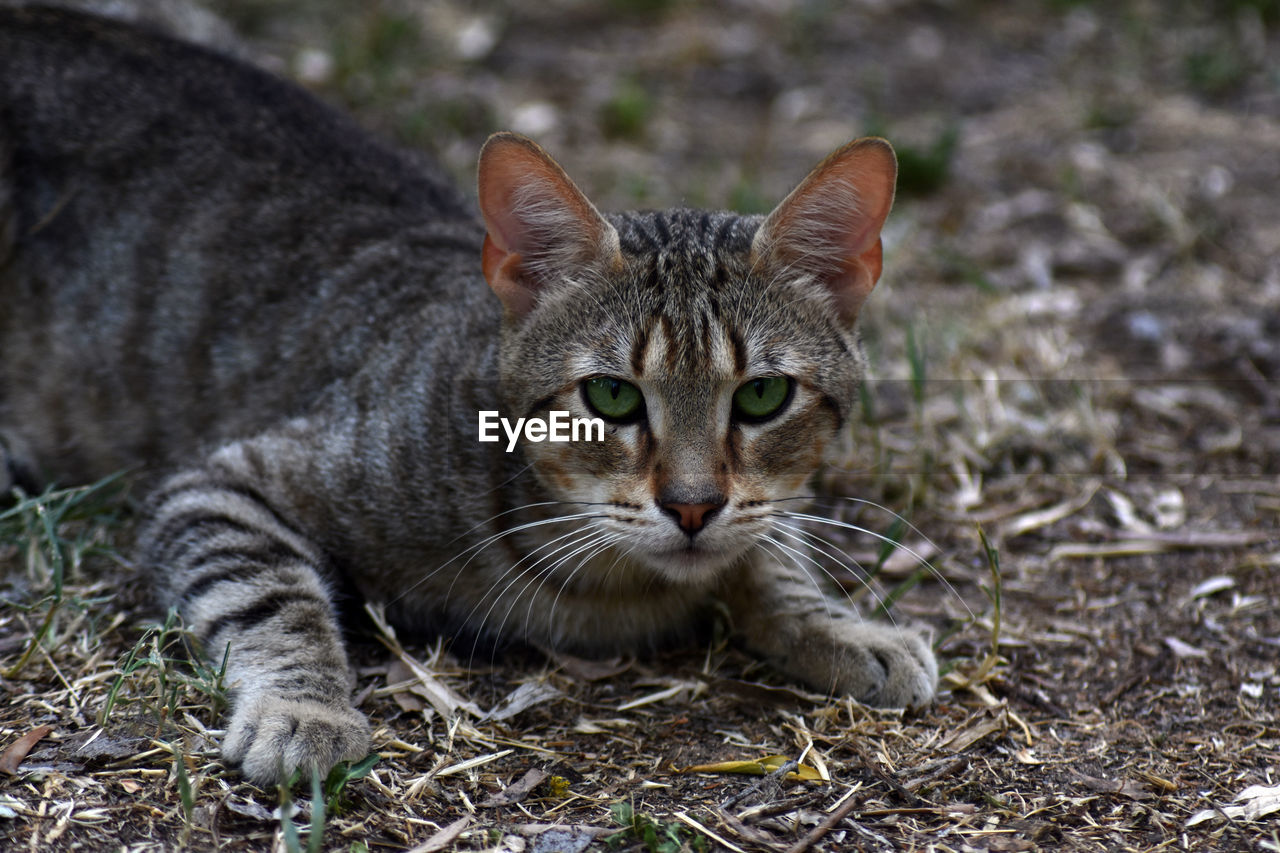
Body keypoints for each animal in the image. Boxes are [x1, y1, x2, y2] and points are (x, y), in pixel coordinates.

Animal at [2, 4, 942, 783]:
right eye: (610, 397)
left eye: (761, 398)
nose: (691, 506)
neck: (608, 591)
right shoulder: (223, 482)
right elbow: (275, 597)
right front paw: (304, 707)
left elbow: (771, 546)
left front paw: (838, 625)